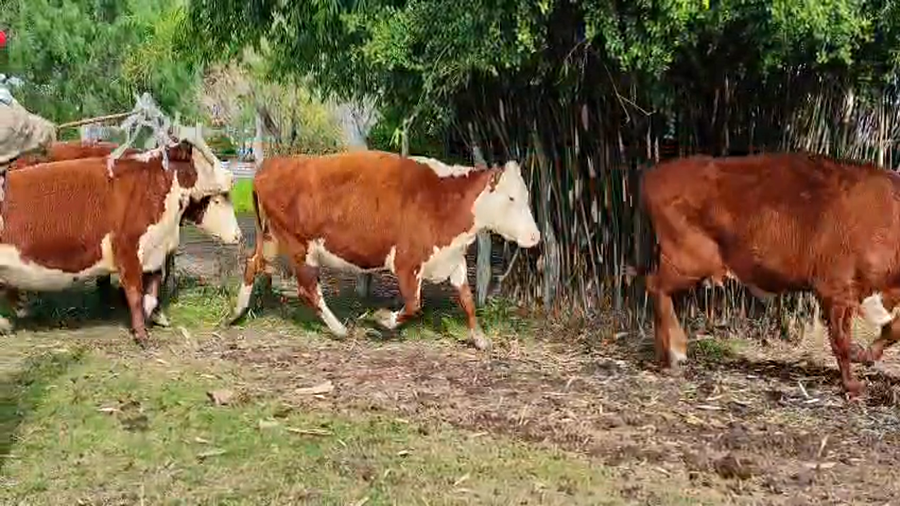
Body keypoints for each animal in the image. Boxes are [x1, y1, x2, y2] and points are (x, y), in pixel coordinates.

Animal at [0, 132, 241, 345]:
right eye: (217, 198)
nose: (238, 236)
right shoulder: (128, 251)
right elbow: (135, 294)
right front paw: (142, 336)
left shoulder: (155, 253)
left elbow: (151, 295)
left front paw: (151, 320)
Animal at [228, 150, 541, 350]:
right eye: (511, 198)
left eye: (526, 196)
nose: (536, 237)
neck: (443, 200)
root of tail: (272, 165)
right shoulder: (406, 262)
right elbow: (414, 305)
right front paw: (383, 319)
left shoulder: (452, 258)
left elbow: (467, 301)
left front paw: (480, 339)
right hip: (299, 247)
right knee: (308, 291)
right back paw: (340, 329)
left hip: (272, 239)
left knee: (252, 263)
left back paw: (237, 312)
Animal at [639, 151, 900, 398]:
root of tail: (653, 174)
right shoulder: (835, 288)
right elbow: (841, 339)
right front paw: (852, 384)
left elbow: (892, 328)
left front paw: (865, 355)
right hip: (689, 260)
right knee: (655, 285)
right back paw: (673, 353)